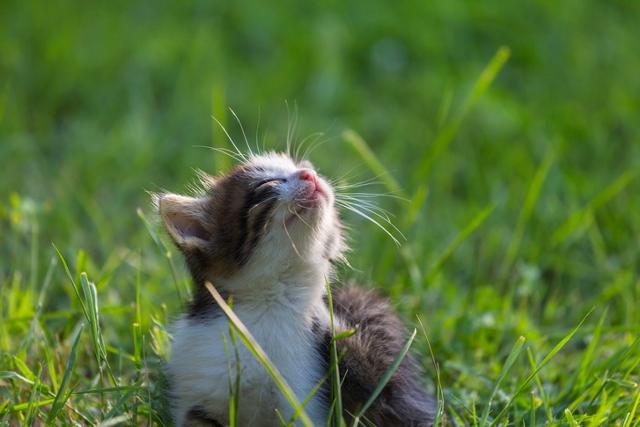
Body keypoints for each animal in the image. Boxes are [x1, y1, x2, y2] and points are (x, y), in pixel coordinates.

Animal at [158, 152, 436, 426]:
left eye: (303, 167)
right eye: (266, 184)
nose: (309, 174)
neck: (270, 305)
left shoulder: (308, 399)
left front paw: (324, 312)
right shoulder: (196, 389)